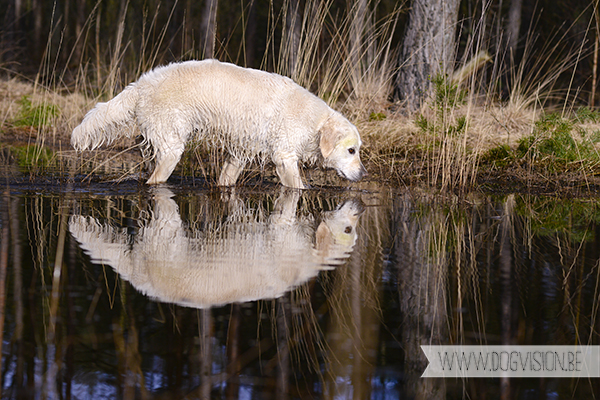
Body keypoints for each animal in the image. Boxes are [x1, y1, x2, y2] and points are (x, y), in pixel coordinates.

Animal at [70, 58, 366, 188]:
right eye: (351, 150)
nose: (364, 174)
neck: (314, 123)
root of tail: (141, 85)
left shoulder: (240, 153)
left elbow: (227, 179)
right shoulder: (284, 157)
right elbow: (298, 188)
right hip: (172, 147)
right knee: (155, 179)